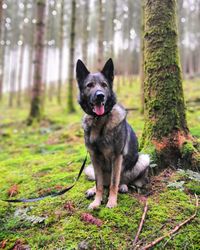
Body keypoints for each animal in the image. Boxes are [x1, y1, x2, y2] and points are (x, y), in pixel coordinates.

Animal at [76, 58, 149, 209]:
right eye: (90, 85)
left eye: (104, 85)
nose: (100, 96)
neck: (99, 120)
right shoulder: (94, 157)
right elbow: (98, 184)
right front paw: (97, 202)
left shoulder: (117, 157)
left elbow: (114, 183)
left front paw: (111, 201)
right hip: (92, 167)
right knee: (102, 182)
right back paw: (92, 190)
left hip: (143, 159)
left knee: (121, 181)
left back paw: (123, 186)